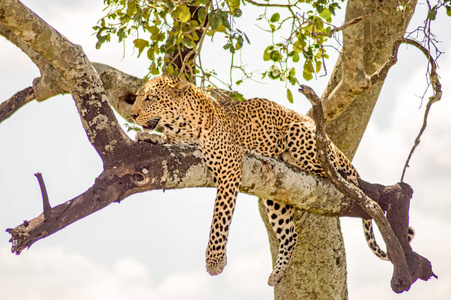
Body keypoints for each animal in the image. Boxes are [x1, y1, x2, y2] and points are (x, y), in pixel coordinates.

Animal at [128, 75, 414, 286]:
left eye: (149, 98)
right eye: (138, 96)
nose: (131, 115)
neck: (182, 124)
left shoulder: (230, 166)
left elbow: (219, 218)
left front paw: (214, 261)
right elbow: (167, 139)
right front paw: (149, 137)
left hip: (305, 140)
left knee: (340, 172)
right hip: (276, 196)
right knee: (291, 234)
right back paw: (277, 274)